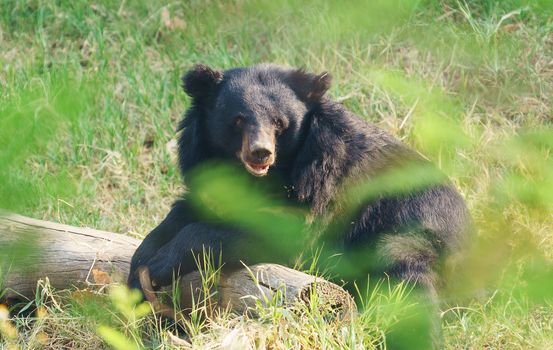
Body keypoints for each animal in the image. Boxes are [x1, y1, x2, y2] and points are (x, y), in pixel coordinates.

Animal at [128, 63, 470, 342]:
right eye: (237, 120)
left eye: (278, 122)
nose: (260, 152)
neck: (262, 176)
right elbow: (182, 216)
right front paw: (139, 275)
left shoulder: (321, 182)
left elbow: (280, 234)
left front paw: (158, 266)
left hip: (412, 234)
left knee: (408, 287)